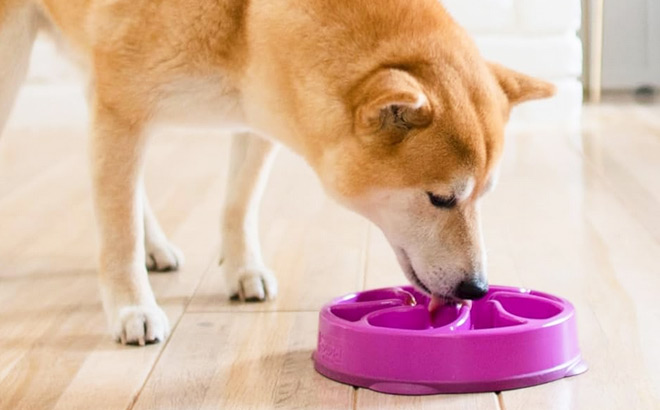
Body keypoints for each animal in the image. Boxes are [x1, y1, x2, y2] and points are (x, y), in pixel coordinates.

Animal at [0, 0, 556, 346]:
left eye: (484, 195)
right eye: (441, 198)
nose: (478, 289)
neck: (245, 23)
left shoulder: (260, 114)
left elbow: (238, 204)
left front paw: (242, 268)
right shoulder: (122, 112)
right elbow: (117, 235)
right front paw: (131, 307)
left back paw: (154, 243)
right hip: (17, 64)